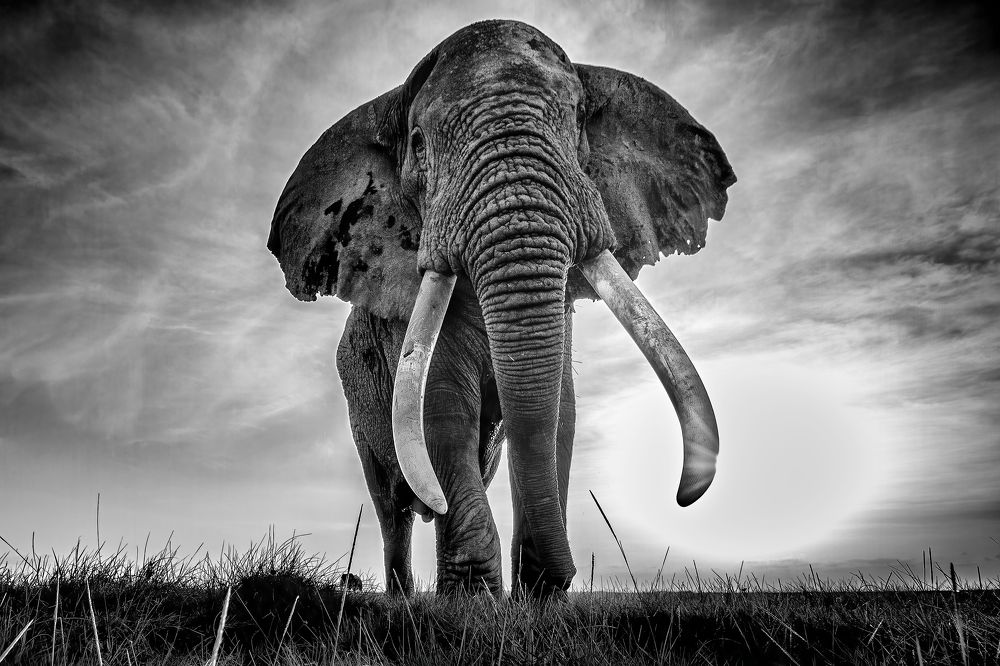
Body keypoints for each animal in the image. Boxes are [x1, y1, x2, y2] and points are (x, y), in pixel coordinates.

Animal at [268, 19, 735, 597]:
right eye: (418, 143)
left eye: (577, 117)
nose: (684, 495)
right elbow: (444, 414)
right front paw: (475, 600)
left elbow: (559, 414)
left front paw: (534, 599)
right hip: (358, 409)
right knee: (390, 507)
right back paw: (405, 591)